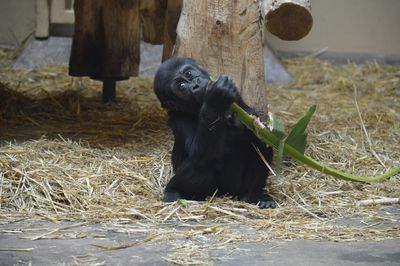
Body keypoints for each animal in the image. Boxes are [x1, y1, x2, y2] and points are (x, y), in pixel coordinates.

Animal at [153, 57, 276, 209]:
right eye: (181, 86)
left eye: (188, 73)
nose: (195, 84)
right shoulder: (179, 119)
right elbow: (199, 153)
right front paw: (215, 100)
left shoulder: (236, 97)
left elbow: (258, 128)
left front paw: (238, 121)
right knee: (203, 162)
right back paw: (173, 191)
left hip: (237, 190)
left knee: (261, 145)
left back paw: (253, 194)